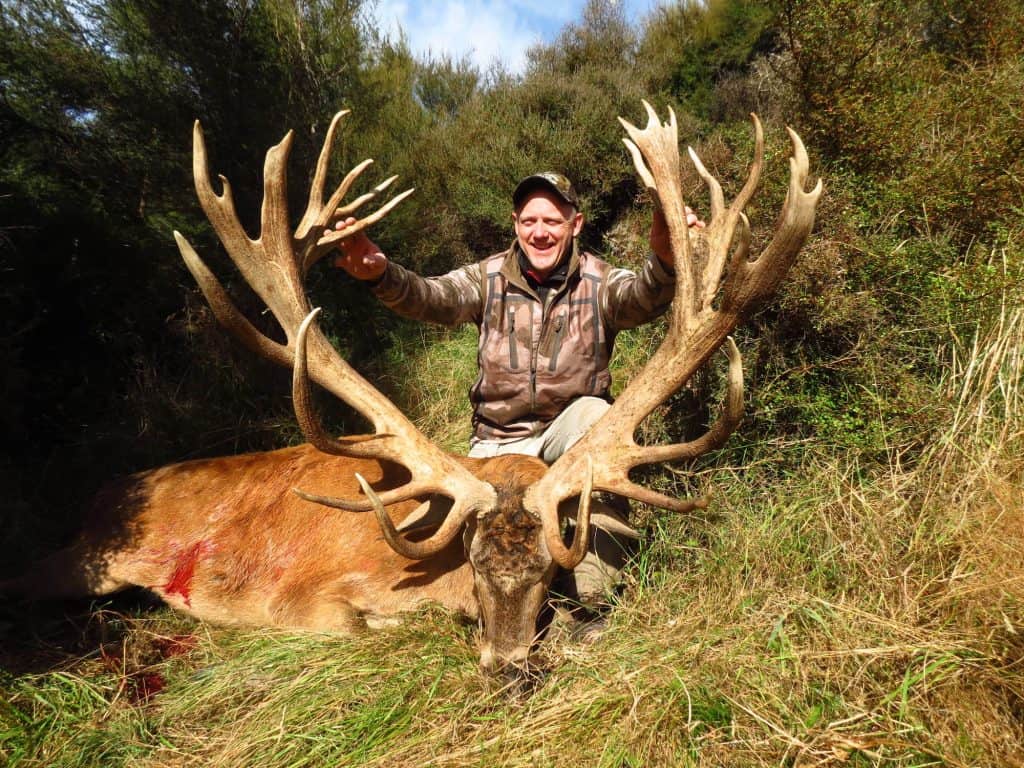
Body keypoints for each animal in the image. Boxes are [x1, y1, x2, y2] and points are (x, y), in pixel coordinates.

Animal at [2, 104, 820, 676]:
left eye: (547, 575)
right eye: (476, 565)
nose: (508, 665)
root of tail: (105, 493)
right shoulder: (308, 597)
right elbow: (356, 623)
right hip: (96, 558)